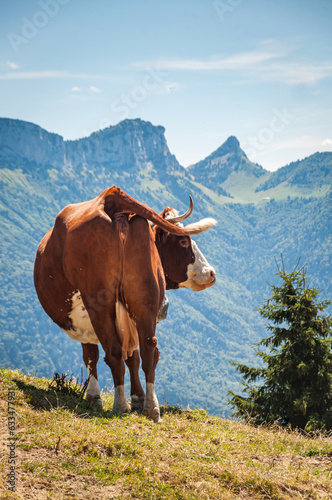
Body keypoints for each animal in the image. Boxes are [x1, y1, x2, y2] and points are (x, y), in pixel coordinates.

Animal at [33, 188, 215, 422]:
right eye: (183, 241)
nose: (211, 273)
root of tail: (111, 196)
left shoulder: (87, 320)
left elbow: (92, 355)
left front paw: (94, 397)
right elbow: (133, 357)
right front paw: (138, 399)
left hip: (98, 303)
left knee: (114, 351)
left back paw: (120, 406)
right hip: (144, 296)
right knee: (149, 348)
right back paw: (151, 408)